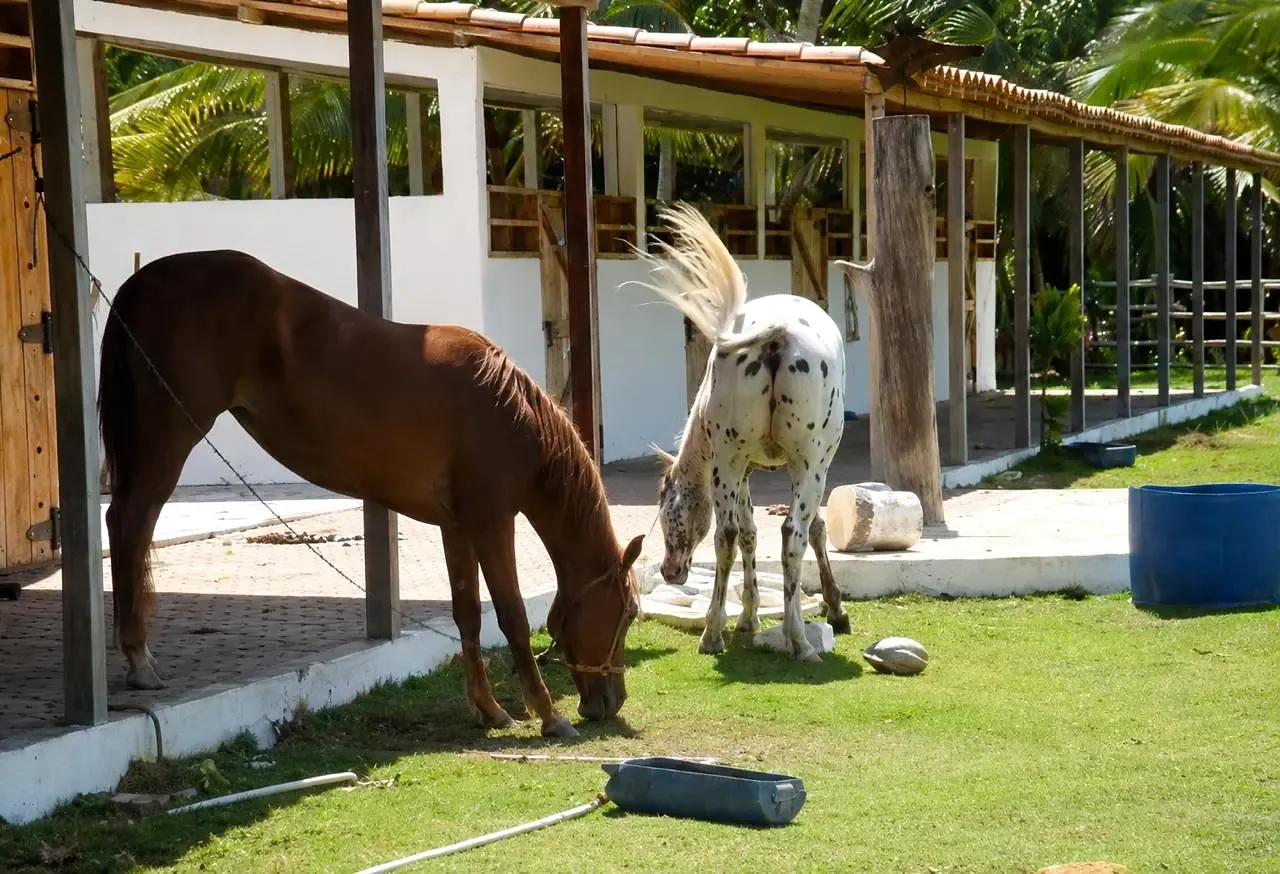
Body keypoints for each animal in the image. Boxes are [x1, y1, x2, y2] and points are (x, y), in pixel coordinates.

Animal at [97, 249, 645, 738]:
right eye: (629, 614)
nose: (612, 701)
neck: (510, 413)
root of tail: (140, 283)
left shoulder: (456, 527)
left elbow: (468, 614)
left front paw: (490, 710)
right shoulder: (492, 523)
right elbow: (510, 614)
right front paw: (548, 714)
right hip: (167, 439)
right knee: (131, 523)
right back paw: (139, 659)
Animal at [634, 203, 850, 661]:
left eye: (666, 503)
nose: (670, 570)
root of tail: (778, 334)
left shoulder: (743, 470)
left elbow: (749, 535)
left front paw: (749, 617)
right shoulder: (802, 468)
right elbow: (813, 530)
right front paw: (833, 607)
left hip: (731, 465)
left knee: (729, 536)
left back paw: (717, 633)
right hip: (804, 464)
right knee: (790, 534)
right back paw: (795, 638)